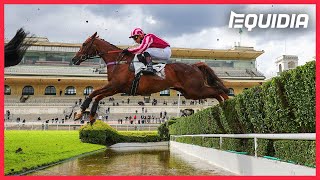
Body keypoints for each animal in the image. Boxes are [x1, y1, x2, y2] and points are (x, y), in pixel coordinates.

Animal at [71, 31, 229, 123]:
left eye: (84, 44)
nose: (73, 59)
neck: (118, 61)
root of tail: (195, 65)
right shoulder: (115, 88)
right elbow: (97, 96)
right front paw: (91, 116)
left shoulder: (114, 86)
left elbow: (93, 93)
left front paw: (79, 112)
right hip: (190, 93)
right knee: (216, 93)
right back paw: (223, 106)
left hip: (195, 91)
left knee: (218, 91)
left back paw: (228, 104)